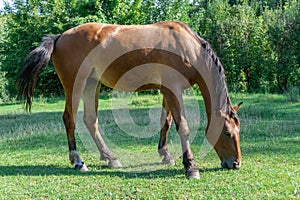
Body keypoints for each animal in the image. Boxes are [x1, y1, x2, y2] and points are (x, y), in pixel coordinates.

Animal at [16, 21, 243, 179]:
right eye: (226, 132)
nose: (236, 164)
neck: (186, 47)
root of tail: (60, 37)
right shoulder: (173, 89)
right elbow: (183, 127)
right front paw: (190, 166)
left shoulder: (167, 91)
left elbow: (166, 122)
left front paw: (165, 155)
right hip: (75, 85)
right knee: (69, 119)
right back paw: (78, 161)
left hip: (91, 84)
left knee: (90, 120)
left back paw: (110, 158)